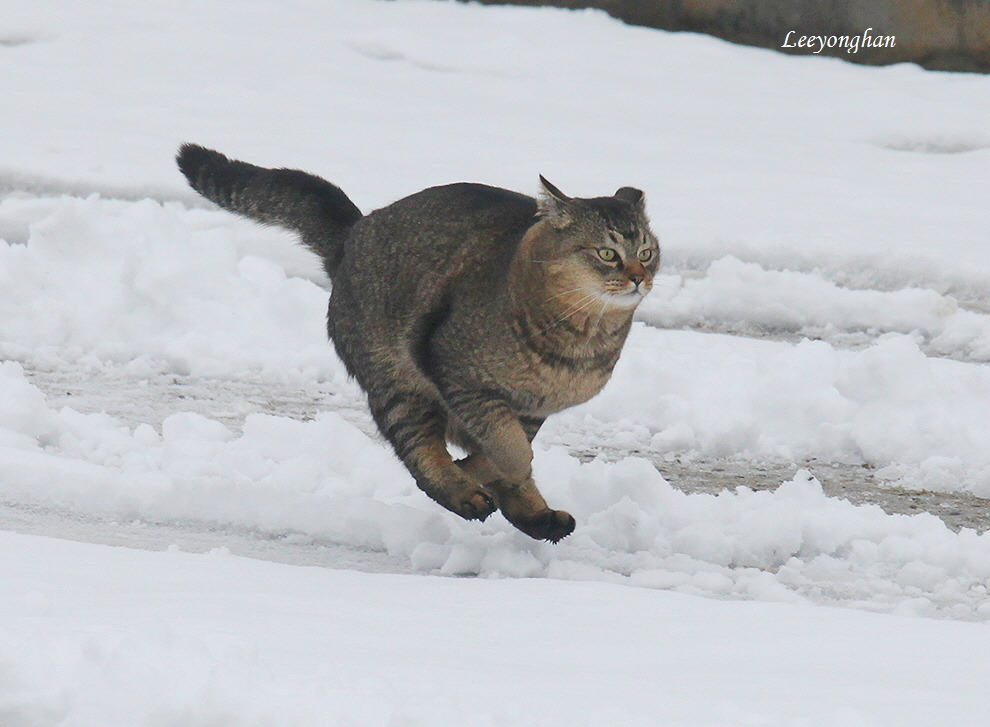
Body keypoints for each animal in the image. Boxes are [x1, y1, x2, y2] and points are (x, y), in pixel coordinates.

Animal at [178, 144, 660, 540]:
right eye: (607, 253)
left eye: (648, 251)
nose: (639, 277)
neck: (581, 340)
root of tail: (356, 232)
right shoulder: (459, 375)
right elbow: (510, 450)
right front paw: (483, 473)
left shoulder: (530, 409)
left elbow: (504, 452)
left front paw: (499, 480)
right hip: (398, 382)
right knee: (419, 452)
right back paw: (464, 495)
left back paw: (538, 518)